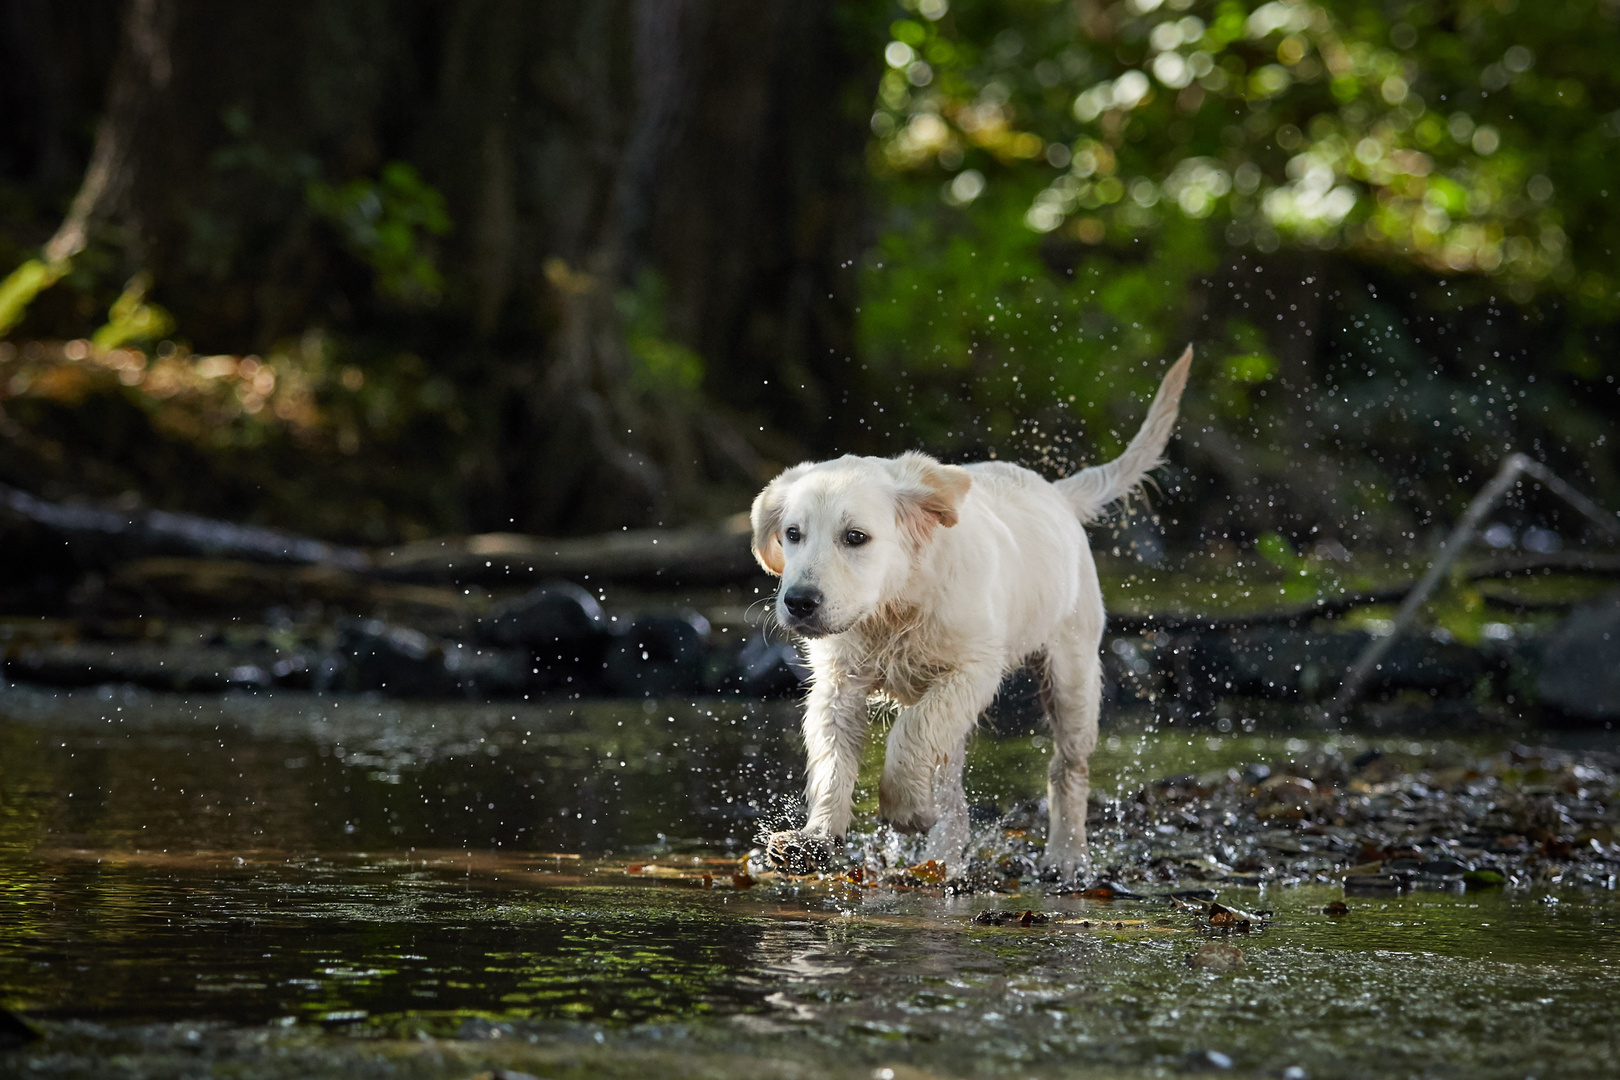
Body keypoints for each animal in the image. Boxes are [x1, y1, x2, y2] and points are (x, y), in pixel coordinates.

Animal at [745, 346, 1192, 880]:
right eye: (792, 534)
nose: (798, 602)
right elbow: (833, 759)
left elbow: (910, 732)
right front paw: (815, 838)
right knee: (953, 794)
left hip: (1072, 672)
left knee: (1067, 768)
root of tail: (1058, 495)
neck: (894, 610)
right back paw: (940, 859)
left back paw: (1065, 856)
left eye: (855, 537)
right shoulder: (839, 684)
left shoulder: (973, 670)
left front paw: (903, 808)